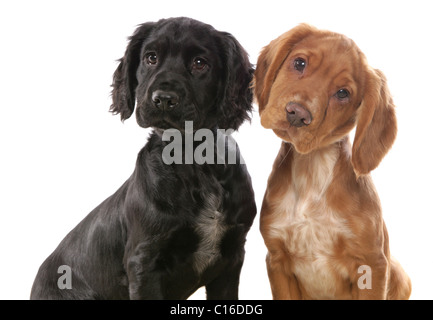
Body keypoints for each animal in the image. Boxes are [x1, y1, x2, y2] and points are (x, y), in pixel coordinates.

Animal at [31, 17, 256, 298]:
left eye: (200, 63)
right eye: (151, 58)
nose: (163, 99)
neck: (192, 158)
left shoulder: (232, 257)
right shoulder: (144, 260)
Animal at [255, 23, 410, 298]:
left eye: (342, 93)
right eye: (299, 63)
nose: (297, 114)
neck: (311, 170)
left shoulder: (372, 264)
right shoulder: (277, 260)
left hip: (400, 275)